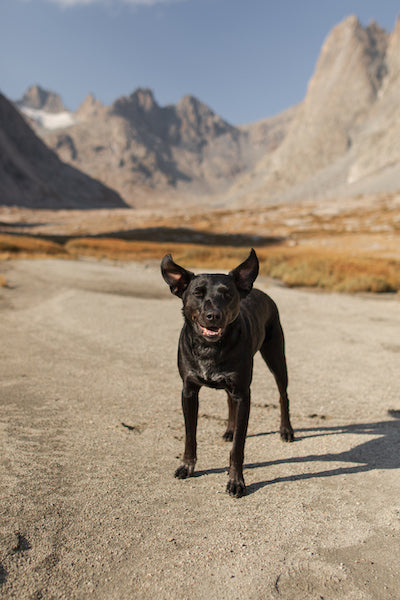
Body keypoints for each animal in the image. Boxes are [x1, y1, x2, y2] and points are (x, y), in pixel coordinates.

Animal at [160, 248, 294, 496]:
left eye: (227, 294)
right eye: (197, 293)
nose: (213, 315)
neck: (210, 347)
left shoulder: (243, 393)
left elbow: (238, 446)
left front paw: (236, 481)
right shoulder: (189, 391)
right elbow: (190, 435)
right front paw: (187, 466)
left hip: (276, 357)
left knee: (283, 396)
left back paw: (286, 430)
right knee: (229, 401)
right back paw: (229, 430)